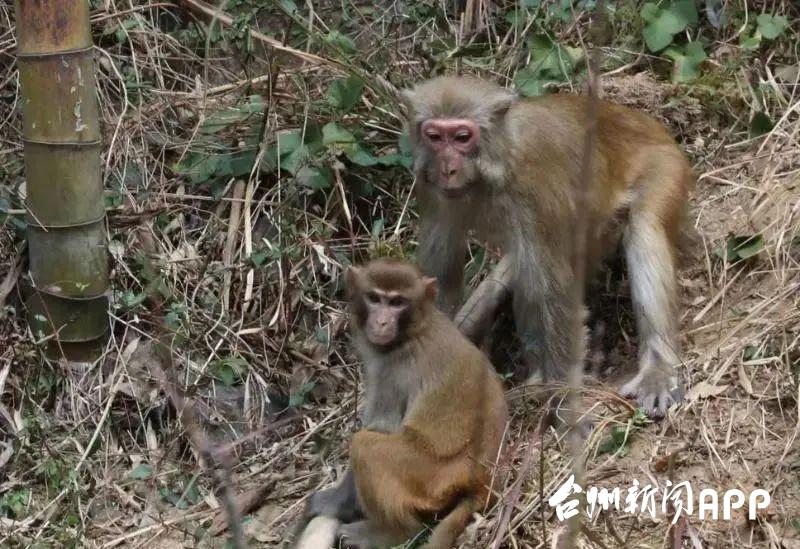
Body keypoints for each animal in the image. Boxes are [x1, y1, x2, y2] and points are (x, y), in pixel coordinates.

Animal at [300, 258, 506, 548]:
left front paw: (337, 504)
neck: (414, 329)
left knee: (365, 446)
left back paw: (394, 533)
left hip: (428, 476)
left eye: (397, 303)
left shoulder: (393, 369)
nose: (382, 322)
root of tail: (483, 482)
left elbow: (381, 428)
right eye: (375, 298)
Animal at [406, 74, 692, 416]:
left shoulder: (536, 193)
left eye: (462, 137)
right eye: (434, 136)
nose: (447, 168)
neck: (498, 162)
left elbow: (554, 294)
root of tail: (644, 121)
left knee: (644, 227)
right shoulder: (432, 188)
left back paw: (657, 368)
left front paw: (562, 400)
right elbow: (442, 279)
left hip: (665, 164)